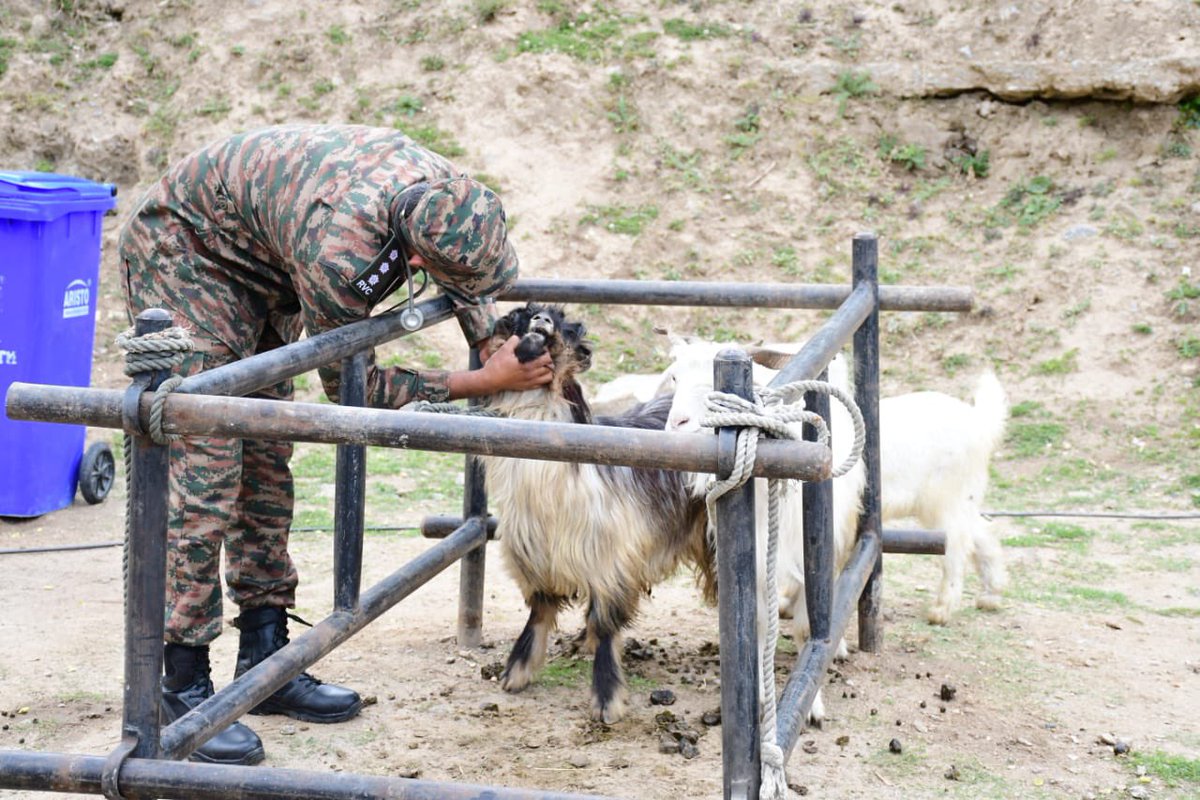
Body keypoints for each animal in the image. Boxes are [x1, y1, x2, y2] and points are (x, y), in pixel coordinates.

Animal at [477, 303, 710, 724]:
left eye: (566, 326)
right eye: (522, 313)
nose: (542, 321)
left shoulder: (611, 559)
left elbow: (605, 623)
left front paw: (607, 699)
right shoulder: (537, 554)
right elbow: (540, 610)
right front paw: (516, 671)